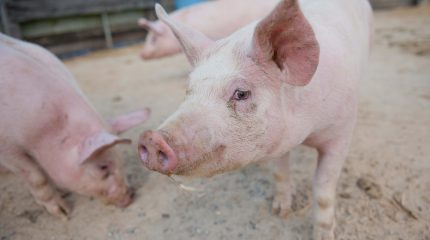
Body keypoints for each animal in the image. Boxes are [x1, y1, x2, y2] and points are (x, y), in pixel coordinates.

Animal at [0, 33, 151, 219]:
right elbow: (37, 178)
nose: (131, 197)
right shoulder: (8, 148)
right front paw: (64, 213)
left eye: (121, 160)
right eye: (103, 167)